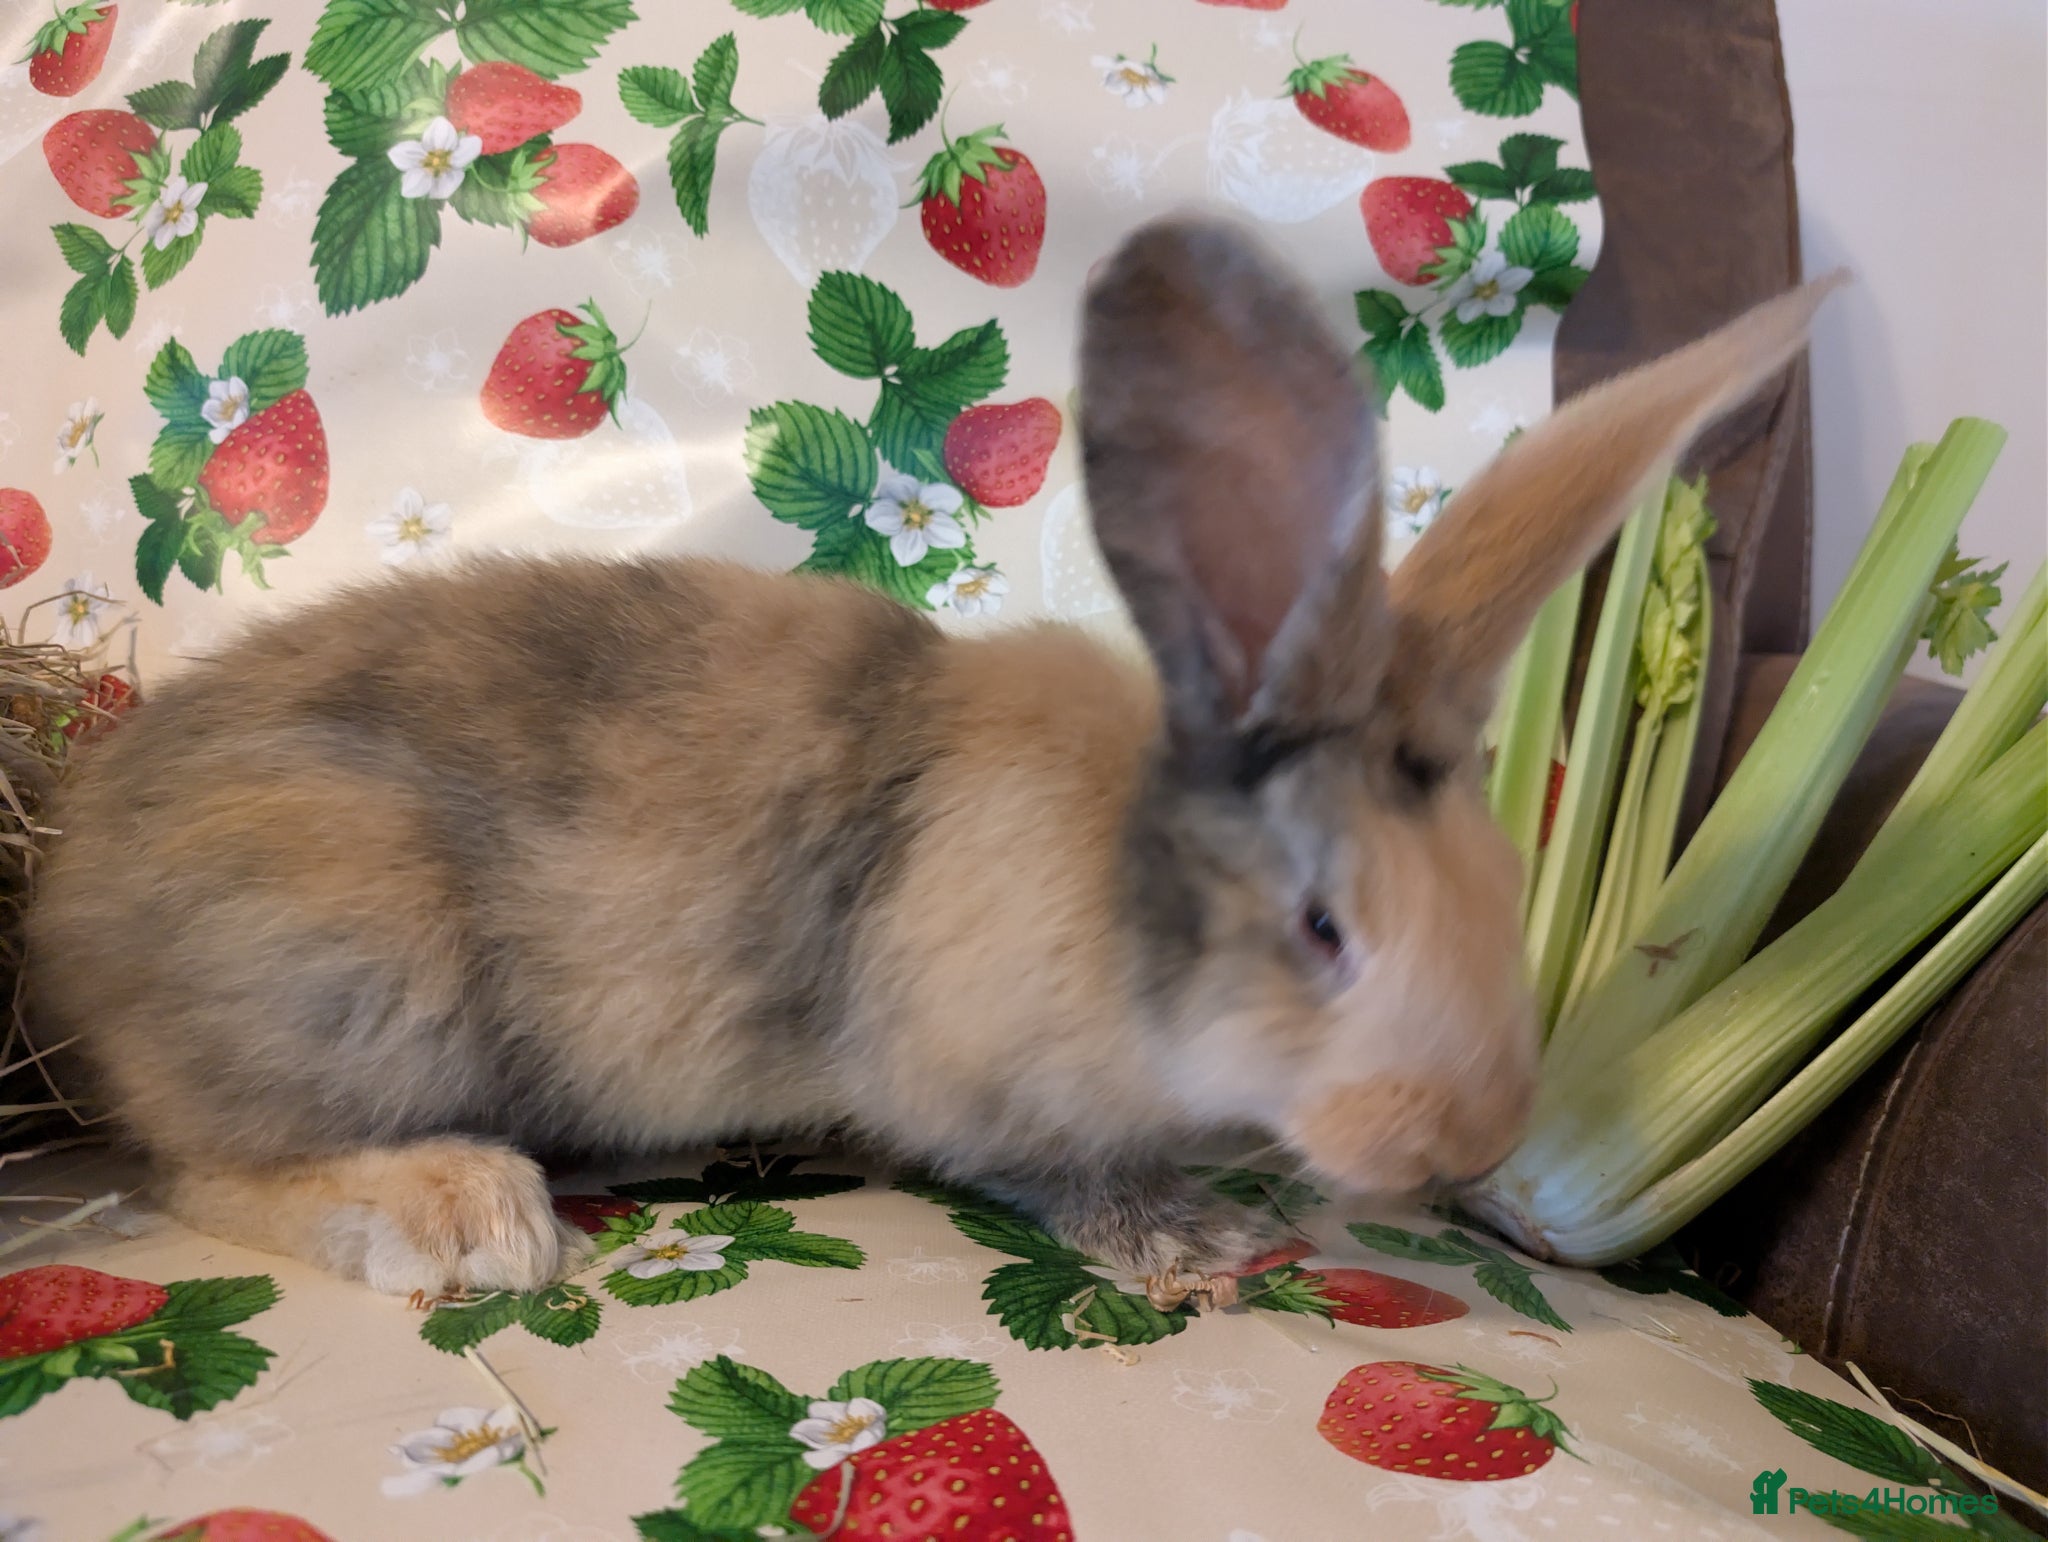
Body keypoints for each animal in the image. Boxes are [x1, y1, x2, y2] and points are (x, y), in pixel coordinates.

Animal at [26, 215, 1839, 1296]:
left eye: (1503, 885)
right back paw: (464, 1216)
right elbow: (1040, 1165)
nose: (1470, 1139)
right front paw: (1187, 1240)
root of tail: (72, 900)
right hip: (357, 965)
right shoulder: (964, 1070)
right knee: (192, 1168)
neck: (1119, 889)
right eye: (1327, 929)